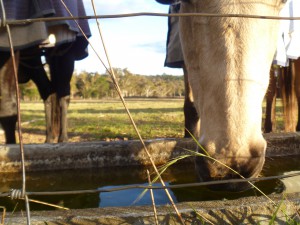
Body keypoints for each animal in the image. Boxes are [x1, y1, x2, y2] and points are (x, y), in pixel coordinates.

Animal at [0, 0, 90, 144]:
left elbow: (7, 107)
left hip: (64, 57)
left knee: (63, 95)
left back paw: (63, 138)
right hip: (33, 63)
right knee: (48, 91)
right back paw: (49, 138)